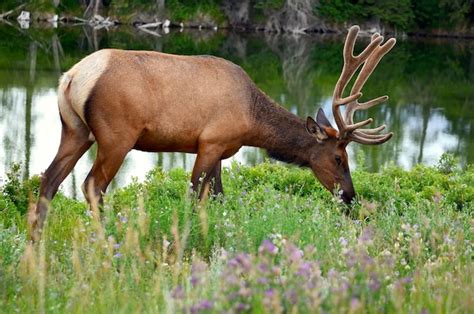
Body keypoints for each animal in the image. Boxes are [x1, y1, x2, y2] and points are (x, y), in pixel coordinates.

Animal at [30, 25, 396, 239]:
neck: (252, 120)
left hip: (74, 130)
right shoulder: (211, 141)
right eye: (338, 158)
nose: (349, 196)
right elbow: (195, 193)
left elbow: (217, 196)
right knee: (92, 185)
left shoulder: (220, 149)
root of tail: (72, 77)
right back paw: (105, 241)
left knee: (48, 180)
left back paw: (36, 244)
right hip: (116, 135)